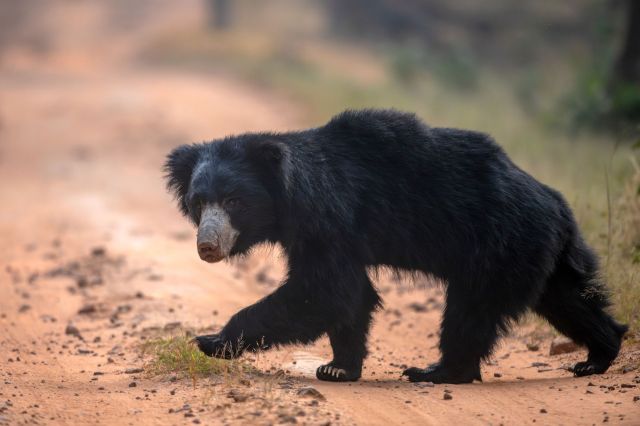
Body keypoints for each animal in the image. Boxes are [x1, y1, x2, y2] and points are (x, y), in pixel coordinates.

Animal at [164, 109, 627, 384]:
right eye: (199, 202)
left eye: (233, 202)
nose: (208, 245)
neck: (292, 196)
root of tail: (557, 205)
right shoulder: (323, 232)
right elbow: (348, 297)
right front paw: (338, 368)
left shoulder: (331, 219)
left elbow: (326, 290)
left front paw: (211, 340)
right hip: (540, 256)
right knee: (568, 301)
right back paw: (597, 355)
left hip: (500, 244)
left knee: (470, 310)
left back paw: (437, 371)